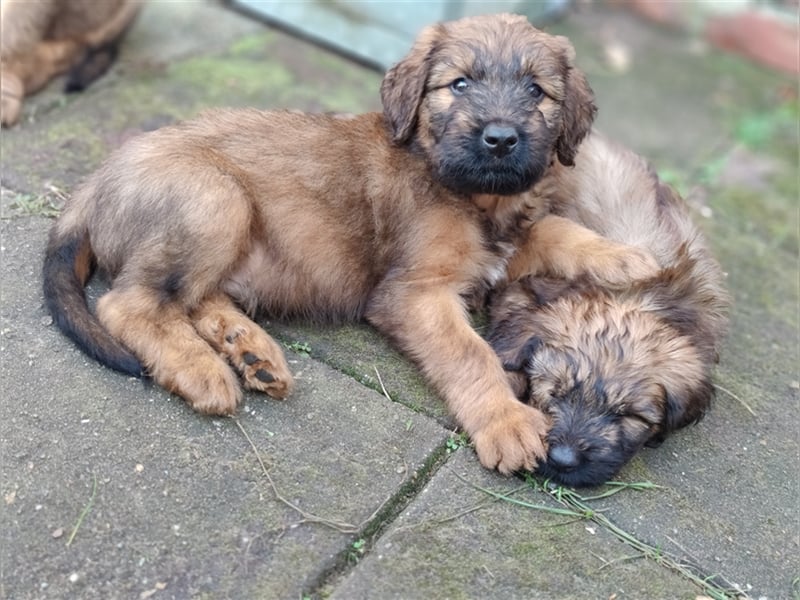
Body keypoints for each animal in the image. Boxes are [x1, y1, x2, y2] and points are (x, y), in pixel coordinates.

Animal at [40, 12, 660, 474]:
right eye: (460, 83)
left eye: (537, 91)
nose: (501, 139)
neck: (475, 198)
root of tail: (98, 178)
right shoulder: (413, 293)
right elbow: (471, 354)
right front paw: (506, 422)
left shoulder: (505, 241)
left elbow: (553, 228)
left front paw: (626, 257)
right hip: (216, 197)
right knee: (130, 303)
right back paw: (204, 370)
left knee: (192, 298)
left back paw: (251, 351)